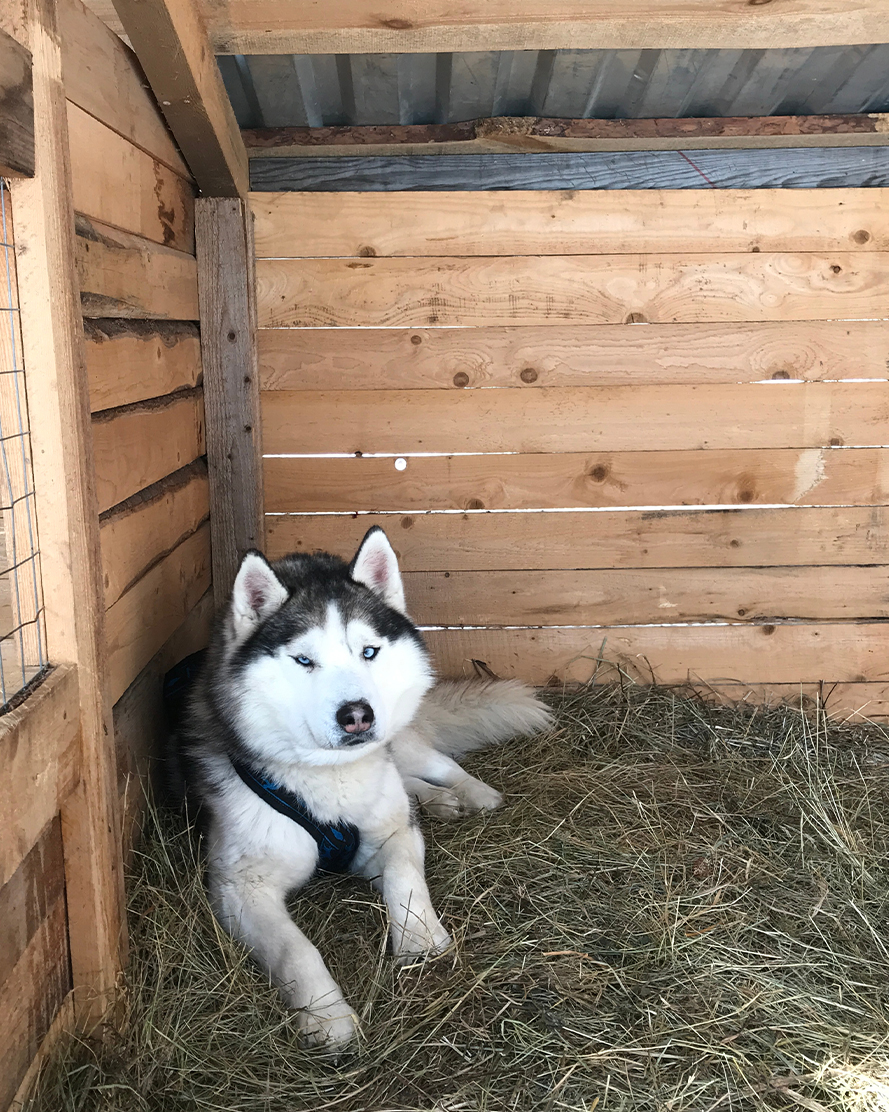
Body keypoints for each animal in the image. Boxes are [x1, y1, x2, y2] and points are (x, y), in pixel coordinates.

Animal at [176, 527, 551, 1049]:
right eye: (304, 660)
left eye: (368, 652)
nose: (357, 715)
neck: (332, 778)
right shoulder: (239, 887)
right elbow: (295, 949)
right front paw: (325, 1014)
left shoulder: (393, 835)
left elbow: (405, 879)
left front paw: (422, 942)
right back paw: (437, 800)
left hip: (403, 738)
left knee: (434, 763)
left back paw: (469, 793)